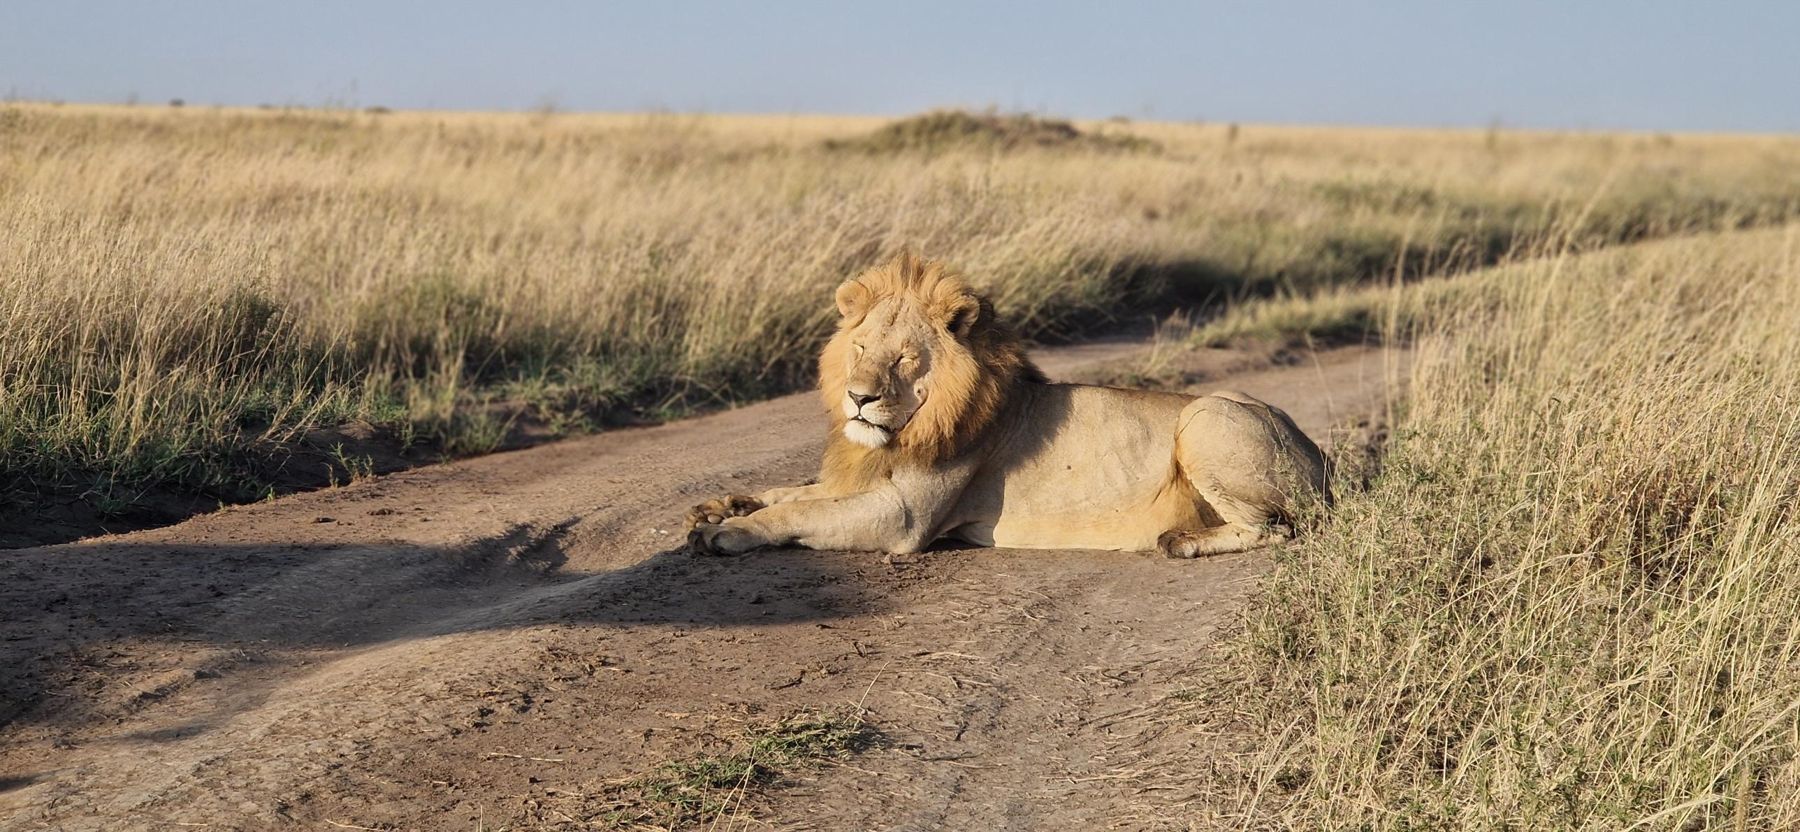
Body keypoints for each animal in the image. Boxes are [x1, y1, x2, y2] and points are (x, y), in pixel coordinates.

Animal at [686, 254, 1329, 558]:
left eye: (906, 359)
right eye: (862, 349)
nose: (859, 398)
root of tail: (1317, 453)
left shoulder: (905, 516)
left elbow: (800, 511)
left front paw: (730, 532)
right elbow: (793, 491)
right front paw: (725, 505)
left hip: (1205, 419)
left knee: (1280, 529)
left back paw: (1184, 541)